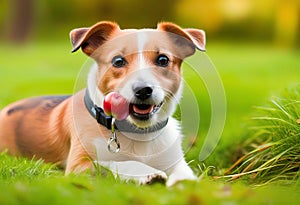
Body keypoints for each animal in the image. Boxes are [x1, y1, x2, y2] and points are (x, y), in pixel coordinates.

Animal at [0, 20, 205, 186]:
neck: (137, 133)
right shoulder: (80, 166)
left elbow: (184, 175)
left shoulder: (176, 162)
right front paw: (147, 173)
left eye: (163, 59)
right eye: (118, 61)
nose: (143, 90)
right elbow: (115, 163)